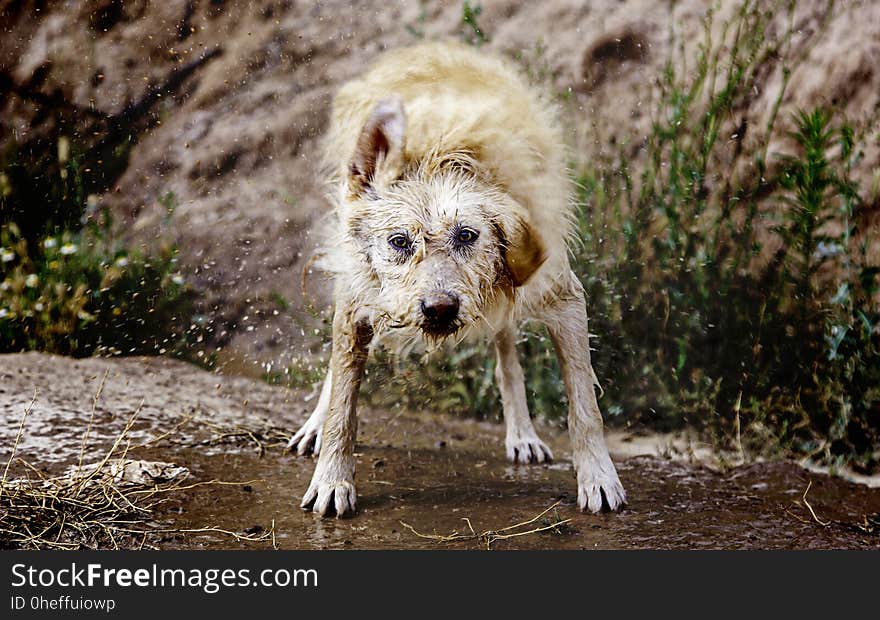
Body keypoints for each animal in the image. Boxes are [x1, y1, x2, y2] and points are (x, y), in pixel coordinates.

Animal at [288, 40, 624, 520]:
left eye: (467, 235)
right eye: (399, 241)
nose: (440, 308)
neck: (442, 153)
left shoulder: (563, 298)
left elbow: (584, 405)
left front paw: (599, 477)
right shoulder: (357, 305)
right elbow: (343, 405)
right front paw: (332, 479)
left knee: (507, 356)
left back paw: (522, 433)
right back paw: (314, 424)